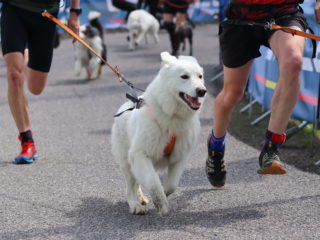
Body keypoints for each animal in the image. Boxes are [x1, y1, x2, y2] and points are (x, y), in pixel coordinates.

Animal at [111, 51, 206, 217]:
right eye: (184, 76)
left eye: (200, 76)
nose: (202, 91)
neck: (172, 116)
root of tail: (127, 104)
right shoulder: (140, 154)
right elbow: (153, 182)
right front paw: (161, 204)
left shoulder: (179, 157)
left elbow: (172, 184)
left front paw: (164, 195)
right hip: (127, 162)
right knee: (130, 187)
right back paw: (135, 205)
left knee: (137, 183)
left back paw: (141, 198)